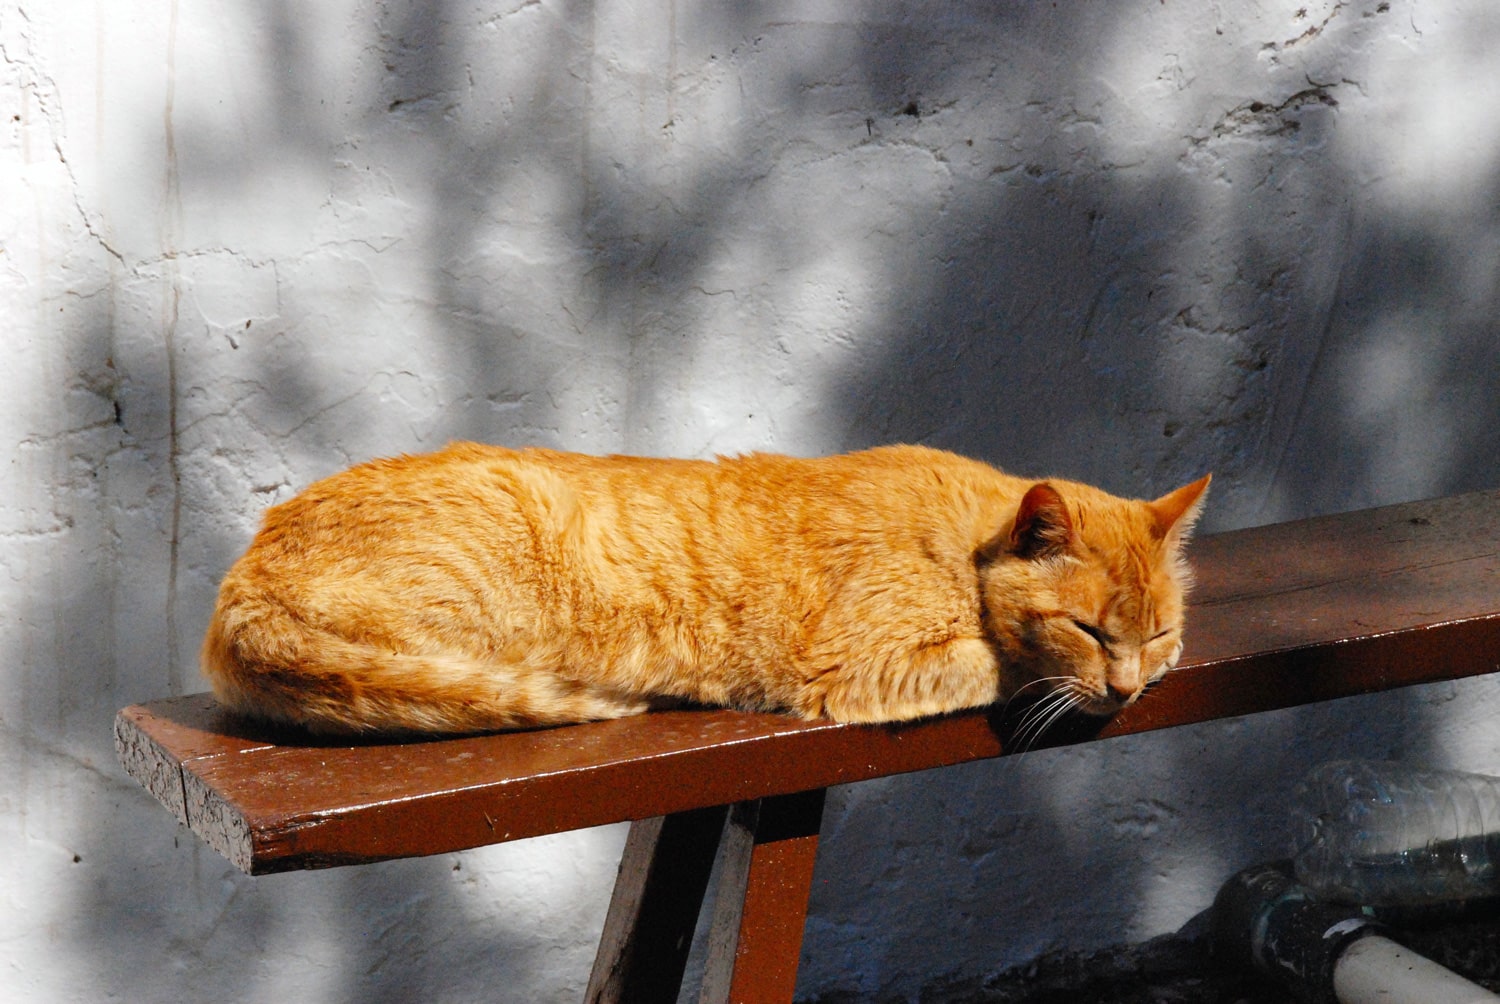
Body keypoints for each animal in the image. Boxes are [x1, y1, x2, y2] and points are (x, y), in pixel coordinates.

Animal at [202, 441, 1206, 732]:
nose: (1126, 688)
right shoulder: (860, 671)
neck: (961, 546)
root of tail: (241, 579)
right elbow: (998, 664)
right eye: (1089, 629)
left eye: (1157, 635)